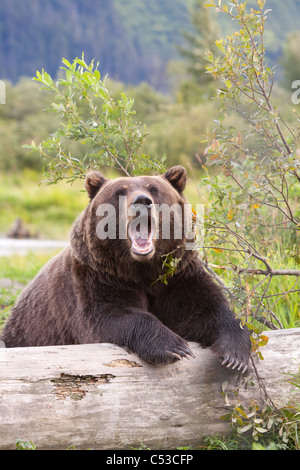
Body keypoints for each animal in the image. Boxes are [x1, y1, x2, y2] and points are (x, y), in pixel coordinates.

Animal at [1, 167, 251, 372]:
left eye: (154, 189)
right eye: (120, 192)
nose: (142, 201)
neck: (142, 269)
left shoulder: (177, 276)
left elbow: (206, 309)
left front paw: (236, 356)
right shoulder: (97, 278)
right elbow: (110, 314)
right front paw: (174, 346)